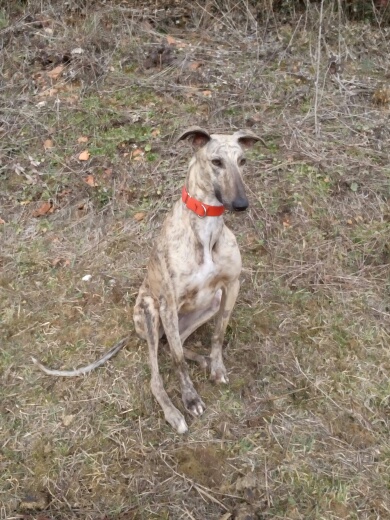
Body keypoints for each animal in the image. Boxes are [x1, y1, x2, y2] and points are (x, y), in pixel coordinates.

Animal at [33, 128, 264, 432]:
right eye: (216, 162)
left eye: (243, 161)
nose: (241, 205)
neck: (206, 227)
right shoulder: (168, 303)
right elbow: (178, 361)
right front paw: (190, 399)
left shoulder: (231, 286)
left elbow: (218, 335)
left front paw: (217, 367)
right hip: (151, 313)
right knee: (158, 372)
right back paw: (173, 412)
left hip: (205, 306)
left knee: (173, 345)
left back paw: (202, 361)